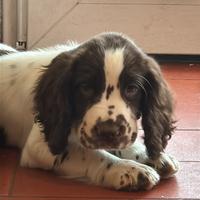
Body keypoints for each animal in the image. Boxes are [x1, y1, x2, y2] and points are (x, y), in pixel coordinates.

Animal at [0, 32, 178, 191]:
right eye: (85, 88)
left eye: (132, 89)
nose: (108, 131)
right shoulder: (40, 144)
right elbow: (92, 154)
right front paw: (129, 169)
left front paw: (152, 156)